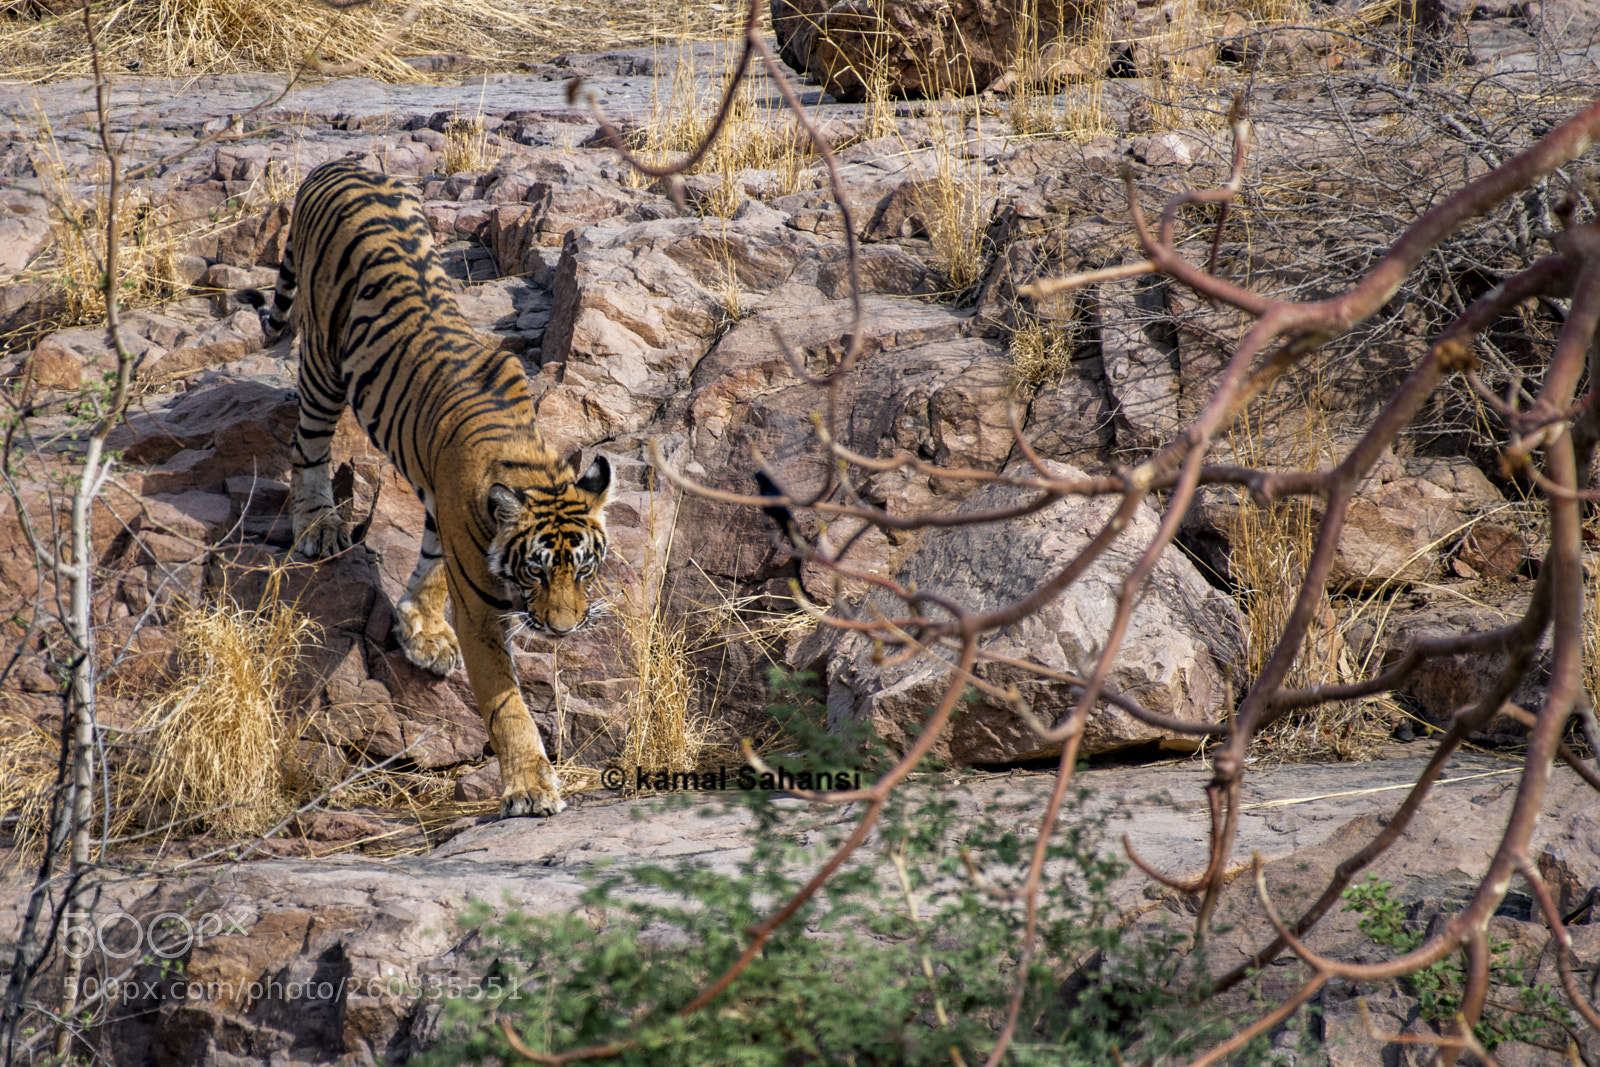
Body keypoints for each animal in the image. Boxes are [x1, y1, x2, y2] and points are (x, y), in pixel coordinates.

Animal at [243, 156, 611, 818]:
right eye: (538, 569)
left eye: (586, 569)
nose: (564, 631)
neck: (532, 468)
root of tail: (334, 163)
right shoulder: (484, 612)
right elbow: (505, 703)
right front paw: (530, 788)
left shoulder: (447, 515)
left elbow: (433, 565)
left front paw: (421, 631)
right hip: (324, 361)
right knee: (306, 447)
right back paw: (318, 526)